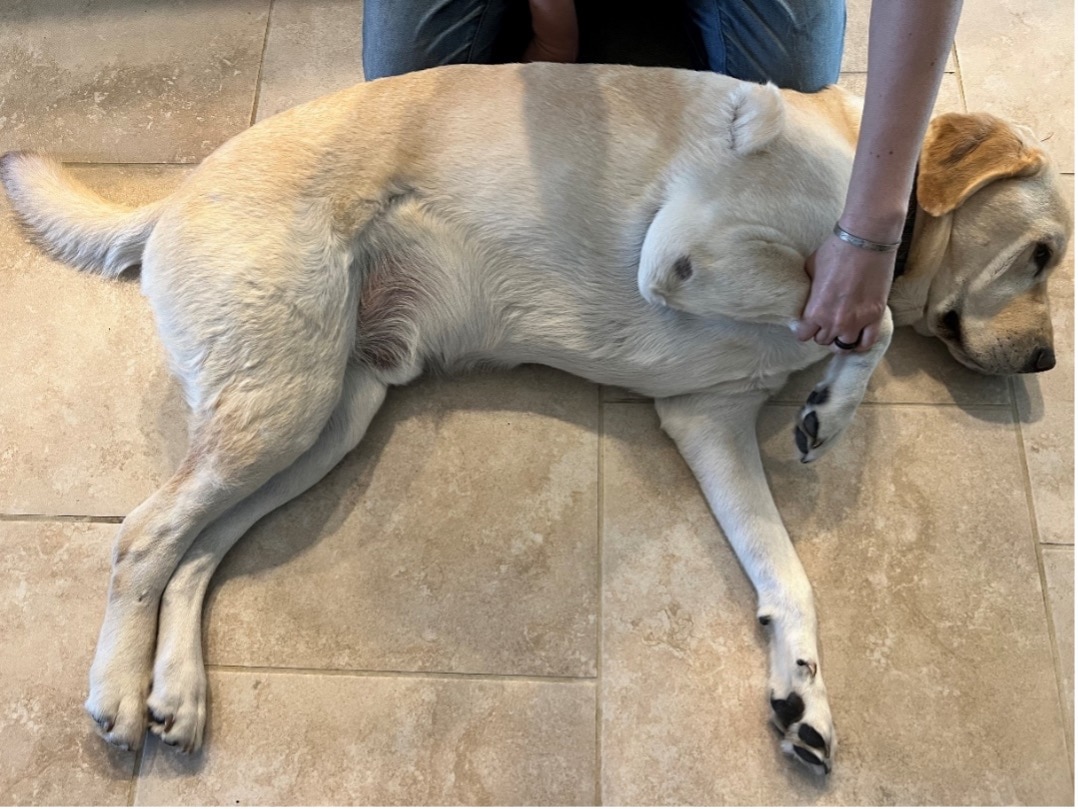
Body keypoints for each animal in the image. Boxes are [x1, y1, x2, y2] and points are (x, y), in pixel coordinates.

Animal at [2, 61, 1069, 772]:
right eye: (1045, 253)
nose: (1048, 362)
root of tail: (174, 191)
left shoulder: (709, 424)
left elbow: (788, 577)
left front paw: (801, 689)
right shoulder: (685, 251)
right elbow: (873, 315)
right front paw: (835, 404)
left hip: (322, 420)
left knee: (196, 553)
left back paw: (176, 689)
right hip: (281, 409)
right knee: (144, 538)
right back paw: (117, 692)